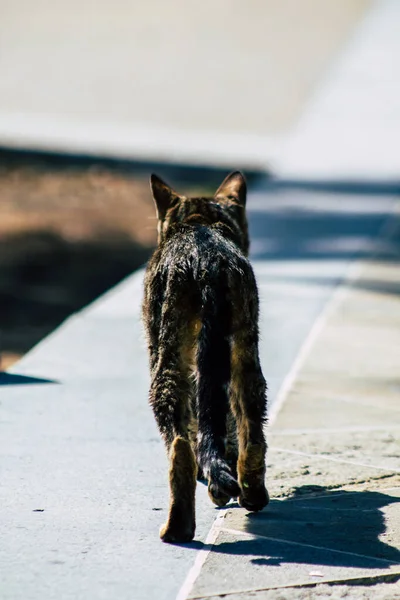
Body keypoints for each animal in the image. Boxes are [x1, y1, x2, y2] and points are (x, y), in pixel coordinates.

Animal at [142, 170, 270, 544]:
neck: (200, 222)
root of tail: (207, 259)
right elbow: (222, 421)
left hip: (167, 361)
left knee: (180, 445)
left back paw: (178, 527)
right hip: (244, 349)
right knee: (250, 429)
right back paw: (251, 494)